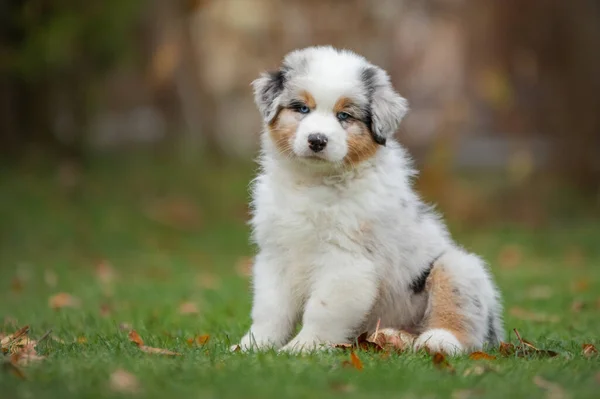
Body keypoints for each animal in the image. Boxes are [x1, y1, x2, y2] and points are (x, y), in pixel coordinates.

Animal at [234, 47, 502, 356]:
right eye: (302, 109)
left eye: (344, 115)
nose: (317, 140)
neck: (314, 182)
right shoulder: (276, 254)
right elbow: (270, 310)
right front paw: (252, 346)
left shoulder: (347, 261)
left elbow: (322, 309)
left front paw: (301, 349)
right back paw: (392, 337)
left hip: (458, 267)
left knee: (464, 324)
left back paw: (437, 341)